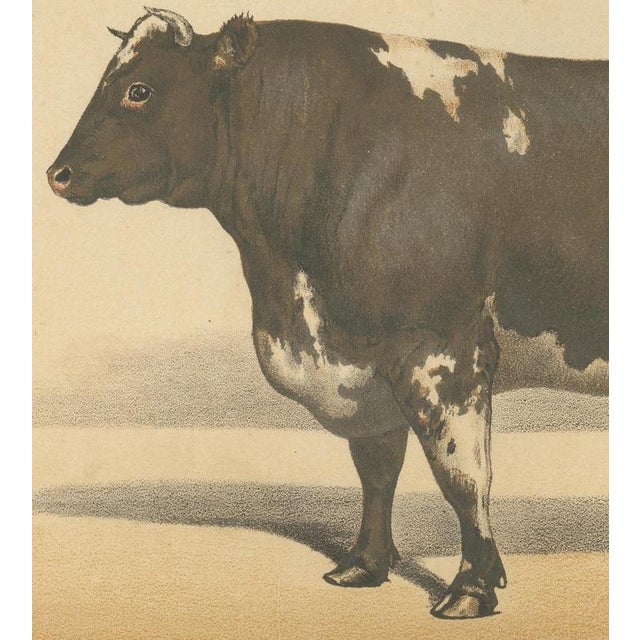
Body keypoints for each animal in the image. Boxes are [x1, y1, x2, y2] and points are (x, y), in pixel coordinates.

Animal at [47, 8, 608, 619]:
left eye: (139, 90)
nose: (58, 173)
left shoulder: (444, 348)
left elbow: (462, 476)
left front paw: (471, 589)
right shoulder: (365, 363)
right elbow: (377, 471)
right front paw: (362, 566)